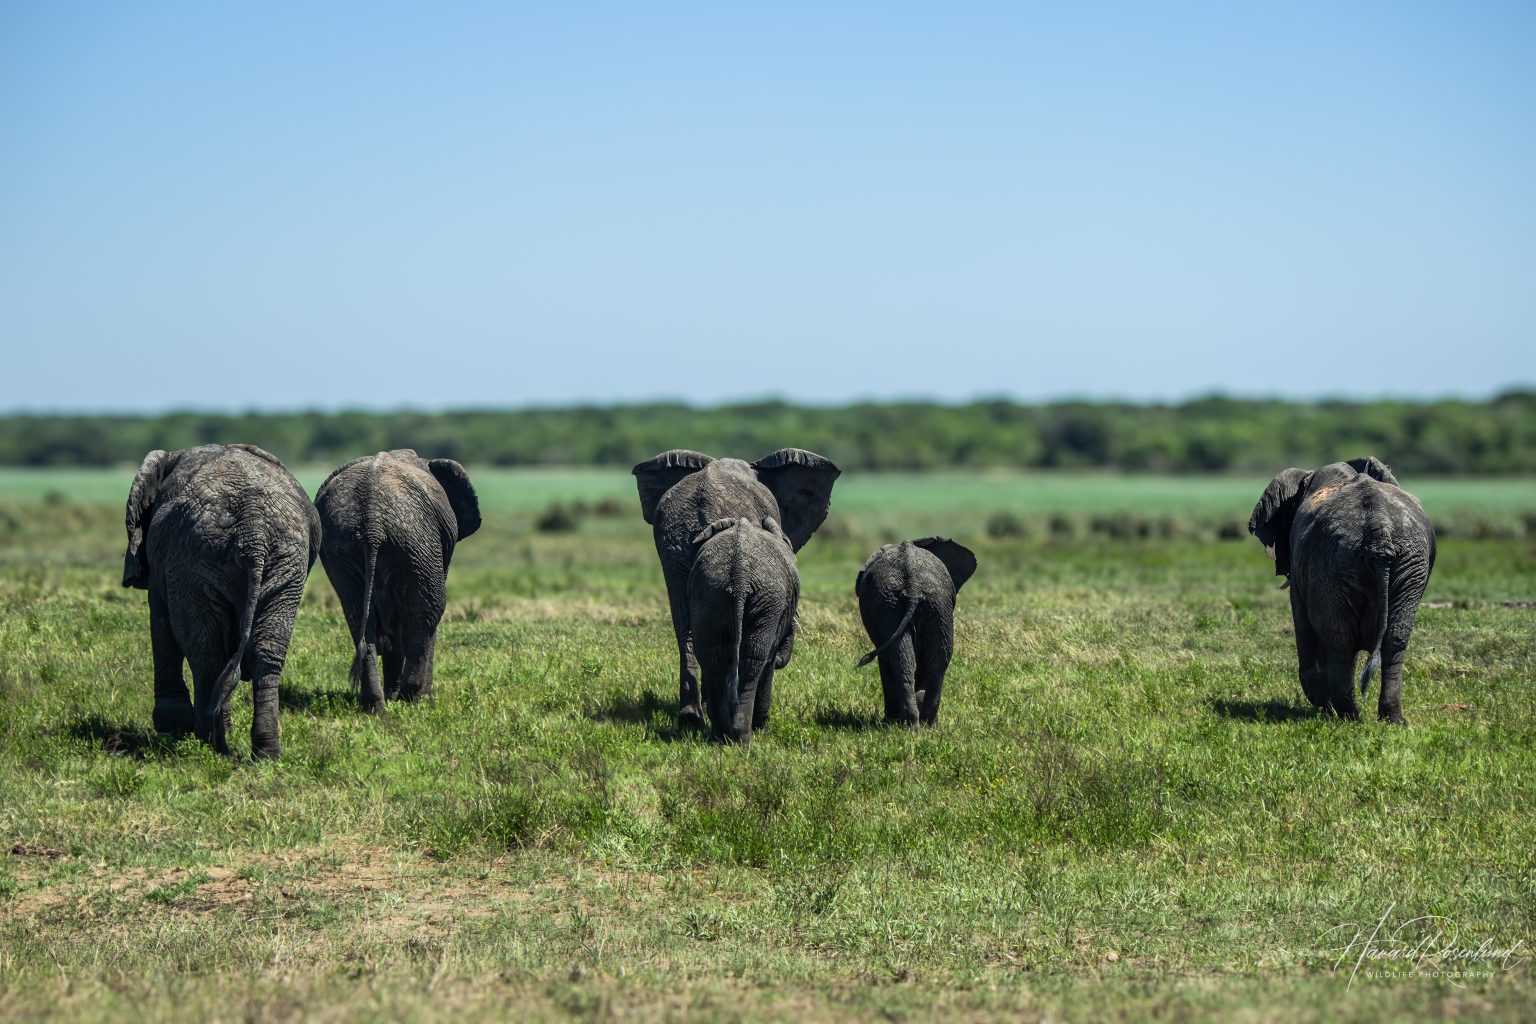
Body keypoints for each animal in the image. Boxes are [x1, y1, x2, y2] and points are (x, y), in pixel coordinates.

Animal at [122, 444, 320, 758]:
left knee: (207, 652)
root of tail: (253, 527)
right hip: (285, 563)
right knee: (264, 652)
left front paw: (171, 723)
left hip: (194, 560)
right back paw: (263, 753)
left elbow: (161, 620)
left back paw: (209, 744)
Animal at [314, 450, 480, 711]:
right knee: (427, 613)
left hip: (343, 548)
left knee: (358, 617)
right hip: (416, 542)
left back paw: (376, 707)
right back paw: (412, 700)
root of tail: (371, 524)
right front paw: (422, 700)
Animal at [687, 517, 799, 742]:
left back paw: (721, 735)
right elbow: (769, 661)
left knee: (712, 655)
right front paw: (762, 726)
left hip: (710, 594)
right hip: (768, 601)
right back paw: (743, 737)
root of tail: (740, 579)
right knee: (755, 657)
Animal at [855, 537, 977, 726]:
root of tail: (911, 584)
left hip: (912, 604)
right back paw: (922, 723)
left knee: (916, 659)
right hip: (925, 605)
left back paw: (912, 723)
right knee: (930, 660)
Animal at [1248, 456, 1436, 723]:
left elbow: (1303, 622)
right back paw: (1392, 720)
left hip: (1334, 563)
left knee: (1339, 639)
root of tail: (1380, 530)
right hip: (1405, 564)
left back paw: (1346, 715)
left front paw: (1320, 701)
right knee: (1394, 638)